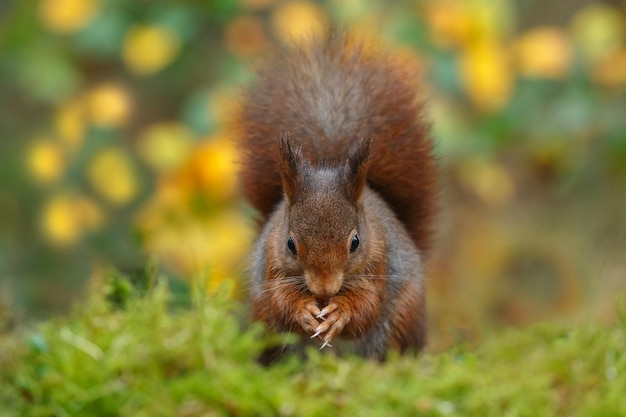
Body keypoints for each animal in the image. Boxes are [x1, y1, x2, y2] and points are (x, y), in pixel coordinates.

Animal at [233, 30, 434, 360]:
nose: (324, 290)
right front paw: (303, 311)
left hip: (402, 319)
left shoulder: (378, 260)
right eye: (290, 244)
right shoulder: (272, 264)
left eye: (355, 242)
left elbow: (367, 305)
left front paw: (340, 314)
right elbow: (280, 298)